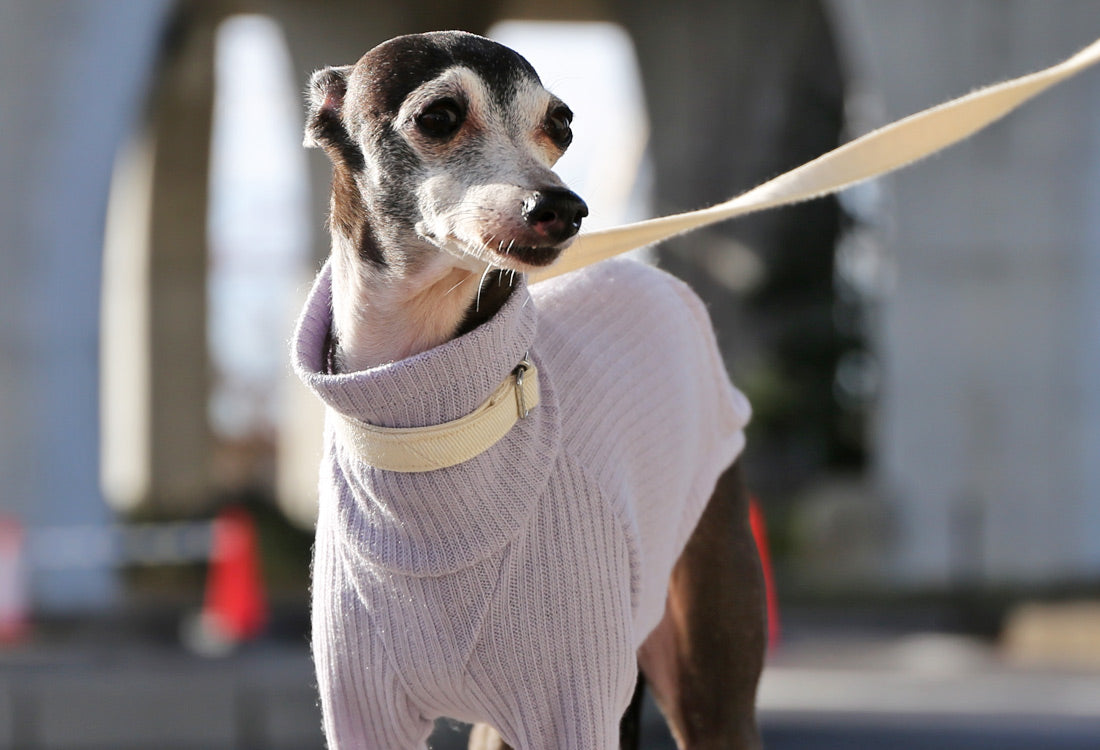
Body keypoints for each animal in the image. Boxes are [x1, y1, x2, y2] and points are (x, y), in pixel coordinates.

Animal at [294, 30, 765, 747]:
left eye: (561, 124)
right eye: (438, 116)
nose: (563, 208)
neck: (428, 430)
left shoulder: (573, 707)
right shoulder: (364, 713)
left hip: (706, 670)